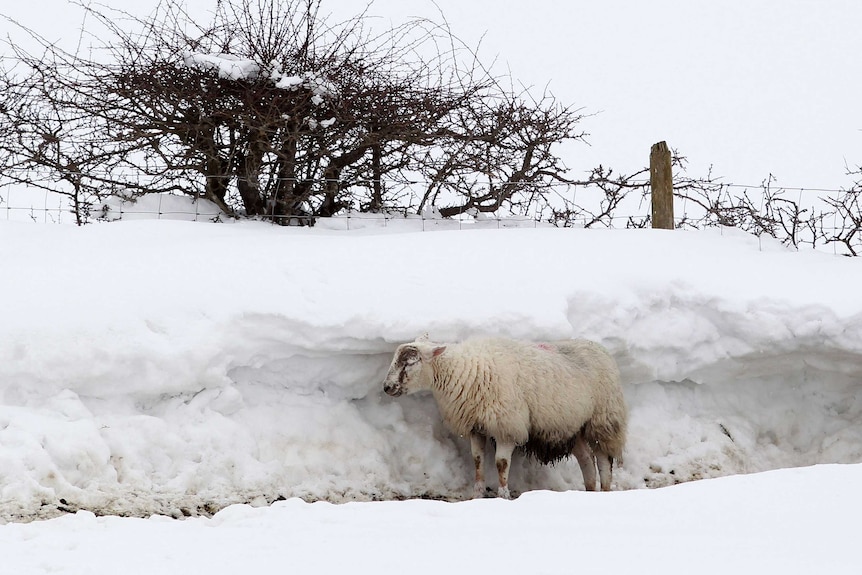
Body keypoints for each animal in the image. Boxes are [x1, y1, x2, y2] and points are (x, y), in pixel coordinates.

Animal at [384, 338, 628, 500]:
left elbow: (501, 463)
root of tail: (600, 348)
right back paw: (589, 492)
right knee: (586, 459)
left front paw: (503, 494)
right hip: (573, 425)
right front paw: (477, 493)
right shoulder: (477, 427)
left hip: (602, 420)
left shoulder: (507, 426)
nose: (386, 387)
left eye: (410, 362)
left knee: (603, 460)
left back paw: (605, 491)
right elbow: (478, 460)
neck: (465, 371)